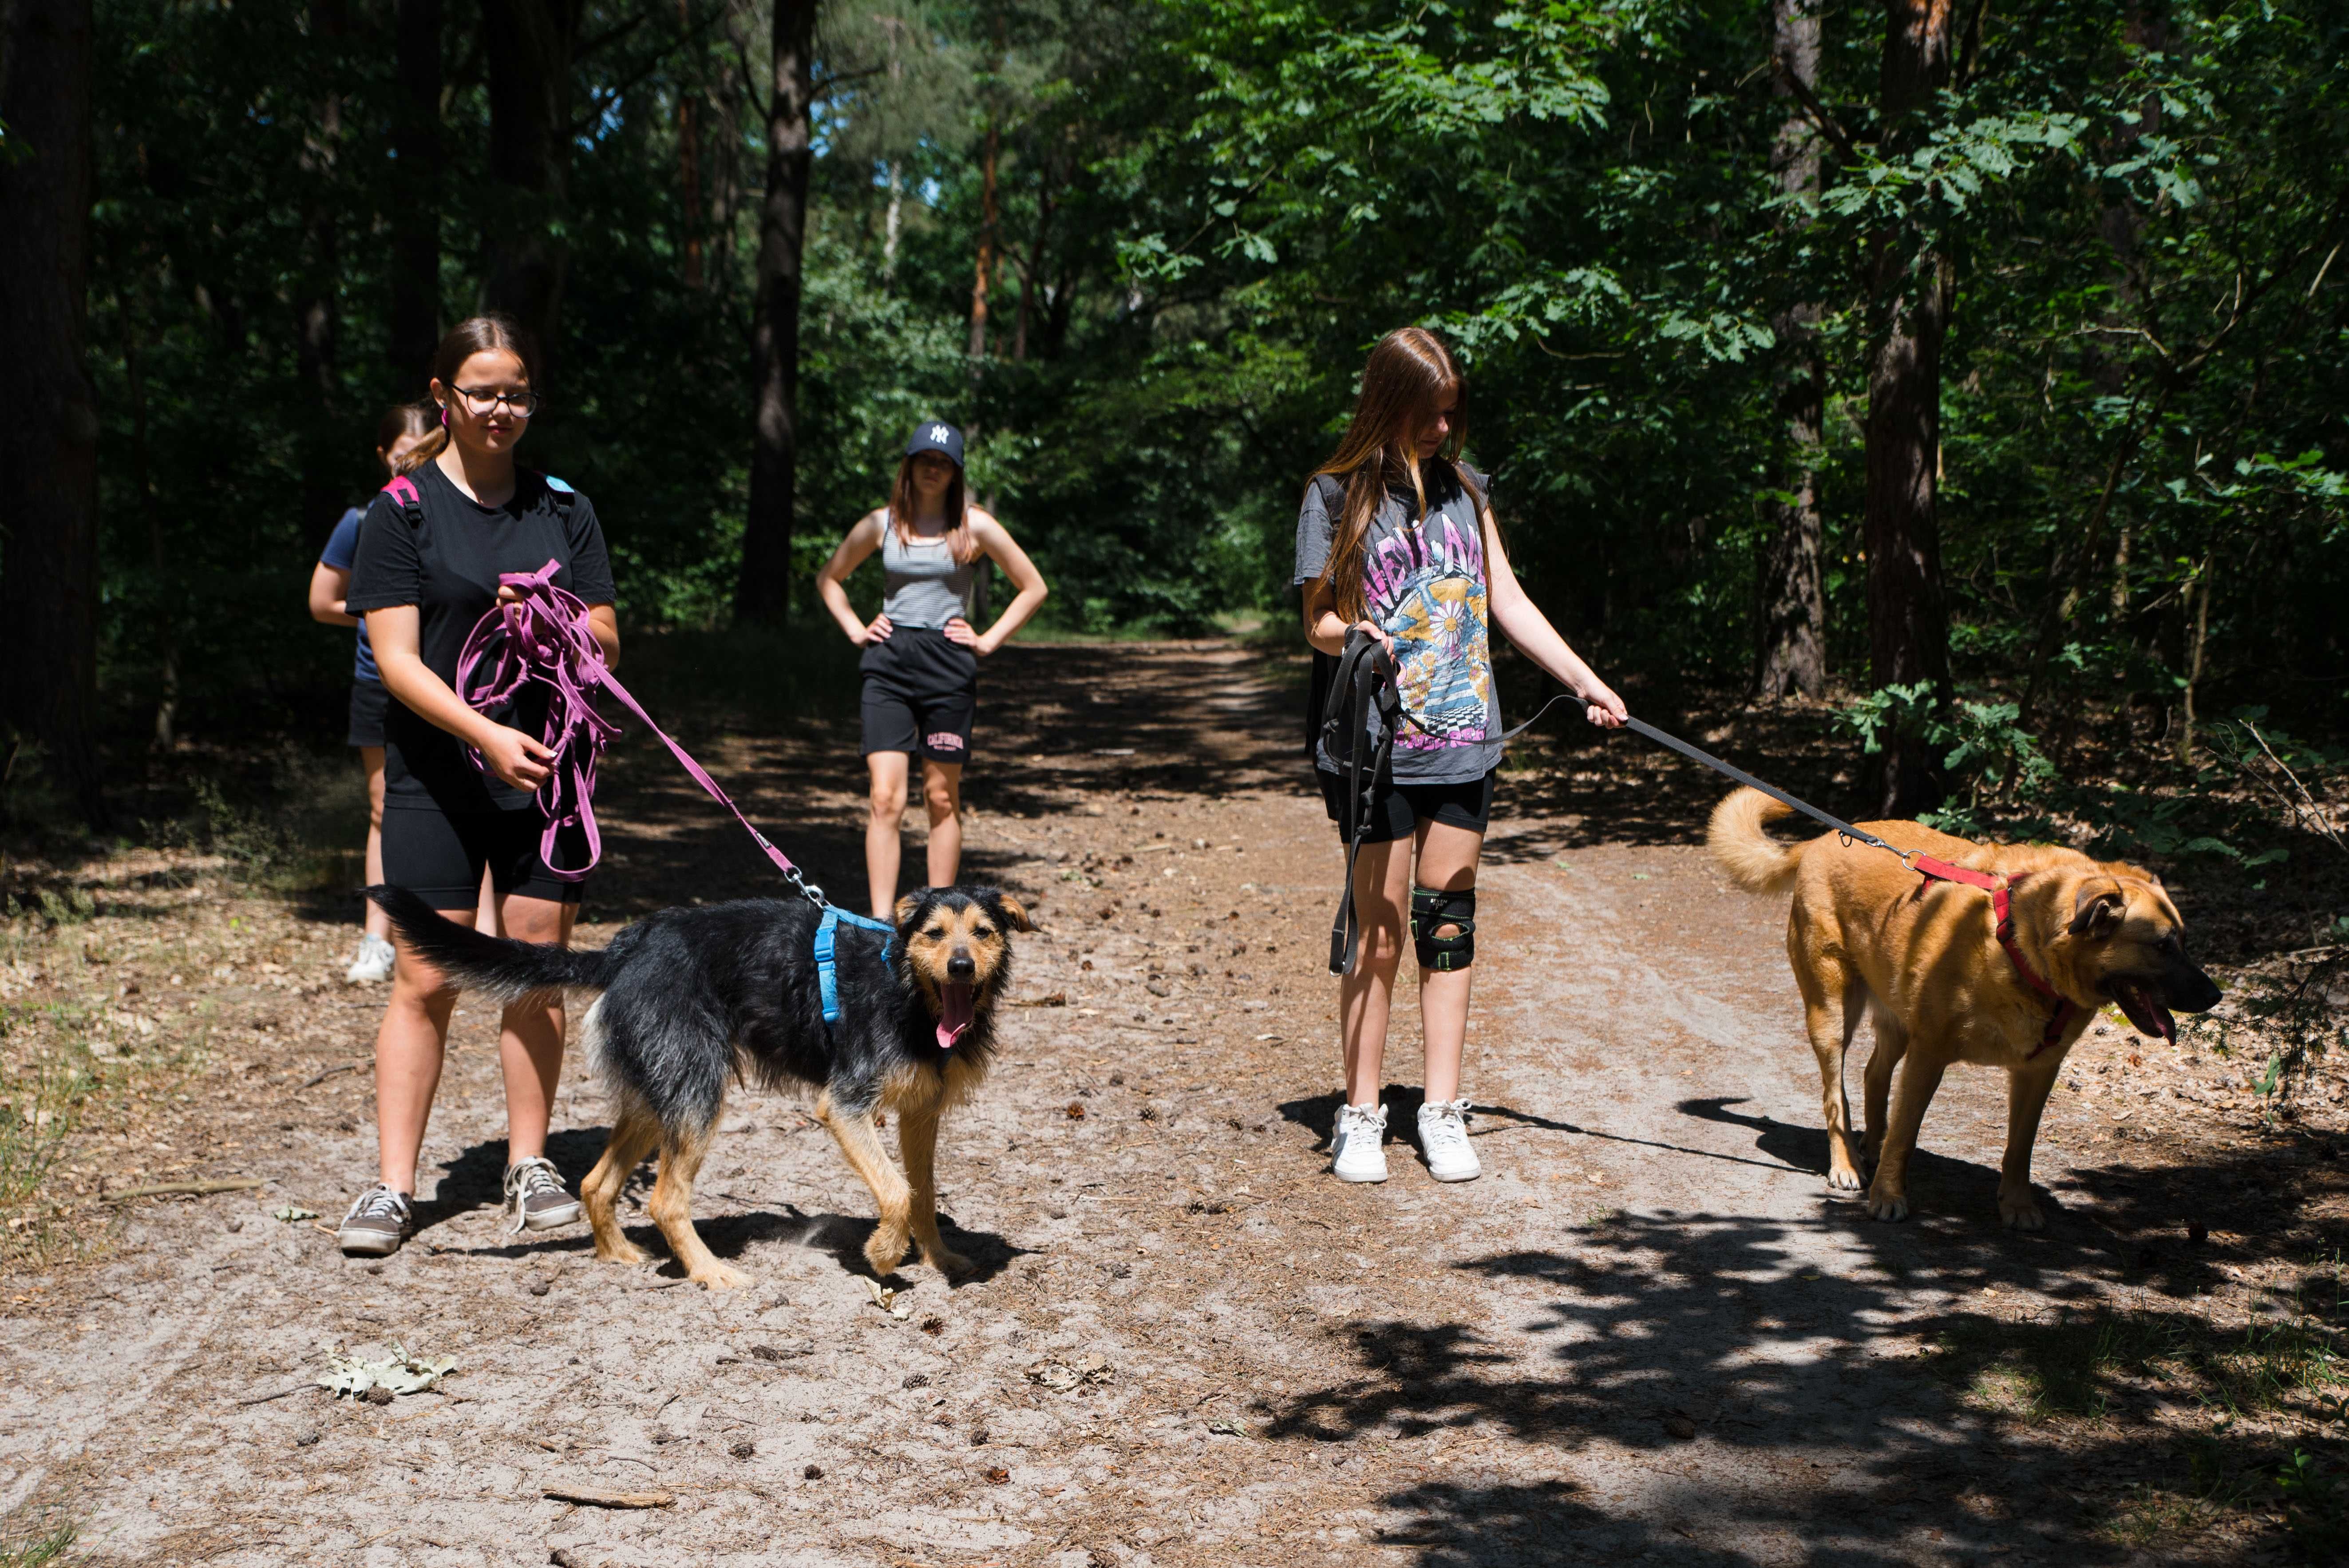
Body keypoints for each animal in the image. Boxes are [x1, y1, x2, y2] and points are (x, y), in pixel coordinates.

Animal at [371, 882, 1024, 1286]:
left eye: (984, 932)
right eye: (934, 933)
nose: (962, 966)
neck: (909, 989)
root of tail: (627, 948)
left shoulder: (921, 1111)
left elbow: (923, 1192)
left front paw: (940, 1256)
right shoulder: (844, 1105)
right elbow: (896, 1191)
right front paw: (885, 1254)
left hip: (660, 1093)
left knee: (595, 1182)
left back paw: (617, 1253)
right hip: (697, 1093)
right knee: (665, 1201)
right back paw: (711, 1273)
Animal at [1710, 789, 2217, 1230]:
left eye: (2185, 940)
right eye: (2162, 945)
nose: (2216, 997)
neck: (2021, 945)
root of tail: (1821, 840)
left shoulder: (2038, 1071)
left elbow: (2020, 1147)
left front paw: (2017, 1205)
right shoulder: (1928, 1054)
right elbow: (1906, 1134)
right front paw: (1888, 1195)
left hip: (1896, 1020)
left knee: (1874, 1075)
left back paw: (1870, 1144)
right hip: (1832, 1014)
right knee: (1837, 1097)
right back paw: (1848, 1165)